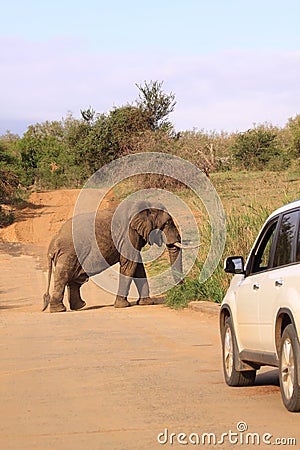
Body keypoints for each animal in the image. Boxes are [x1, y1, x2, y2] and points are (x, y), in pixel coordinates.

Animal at [42, 201, 183, 312]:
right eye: (168, 223)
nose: (179, 291)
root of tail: (52, 243)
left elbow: (138, 266)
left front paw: (146, 303)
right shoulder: (128, 234)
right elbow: (130, 265)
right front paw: (123, 306)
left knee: (75, 278)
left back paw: (79, 306)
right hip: (69, 254)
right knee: (64, 276)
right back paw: (59, 310)